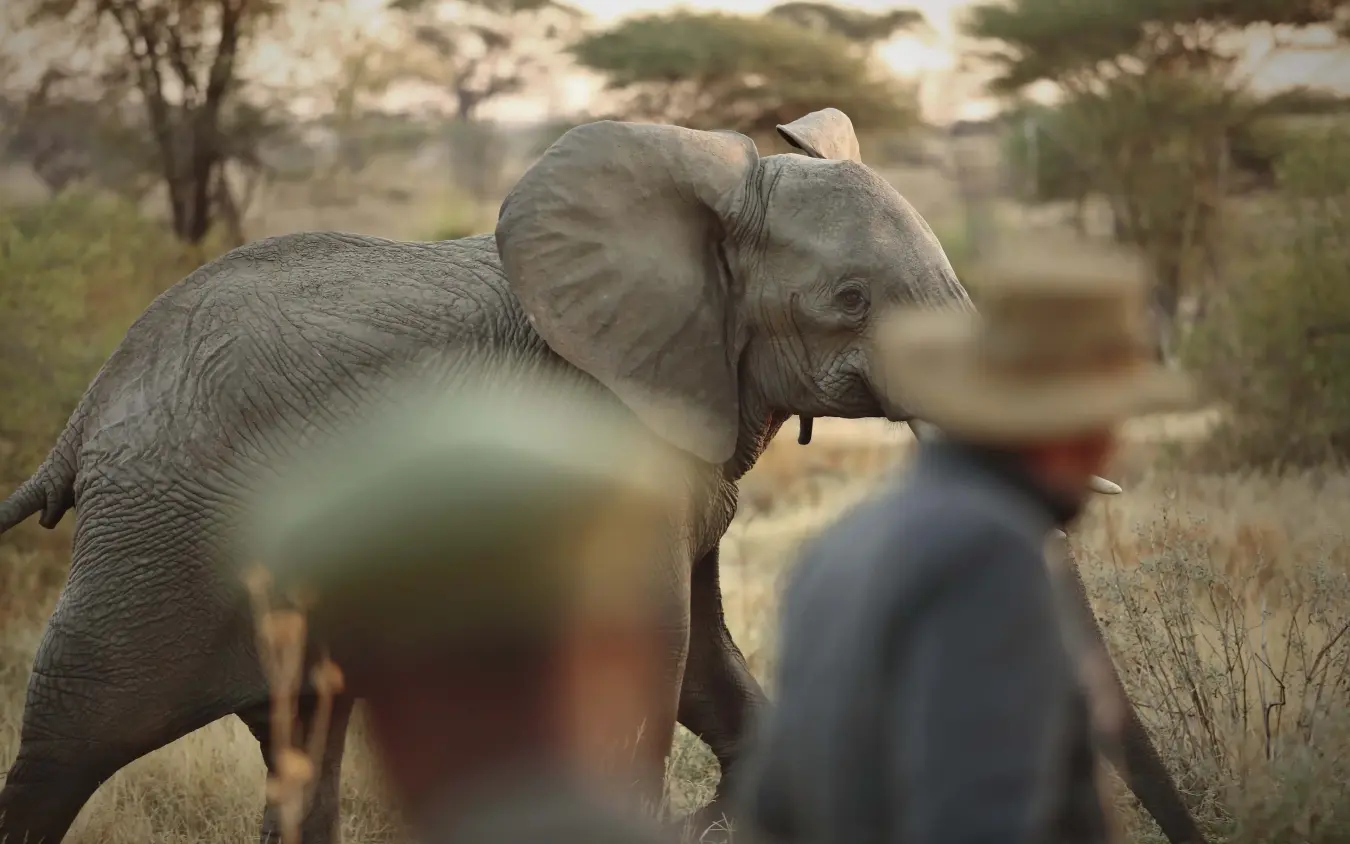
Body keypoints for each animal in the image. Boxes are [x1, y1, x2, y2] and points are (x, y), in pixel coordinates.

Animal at [0, 108, 1202, 844]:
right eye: (851, 302)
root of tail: (85, 415)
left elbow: (707, 657)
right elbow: (654, 647)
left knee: (305, 741)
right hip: (156, 546)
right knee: (69, 739)